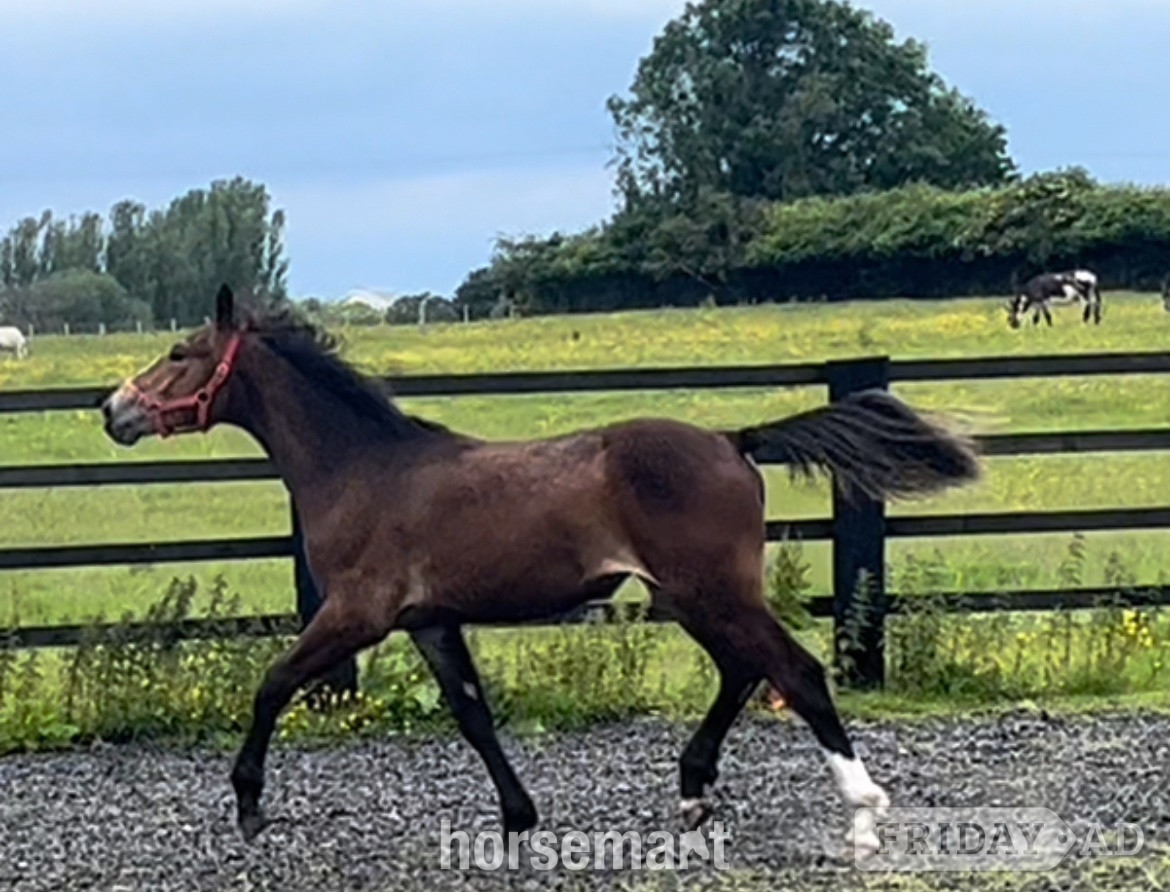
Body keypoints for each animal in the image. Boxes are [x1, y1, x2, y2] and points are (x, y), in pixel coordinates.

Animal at [100, 285, 981, 856]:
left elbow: (273, 683)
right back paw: (694, 791)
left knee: (794, 671)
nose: (114, 411)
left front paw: (250, 807)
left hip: (710, 590)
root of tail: (733, 440)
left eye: (179, 353)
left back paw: (861, 813)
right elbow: (472, 712)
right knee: (744, 671)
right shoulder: (429, 620)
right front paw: (518, 817)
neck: (361, 468)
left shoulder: (357, 613)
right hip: (690, 596)